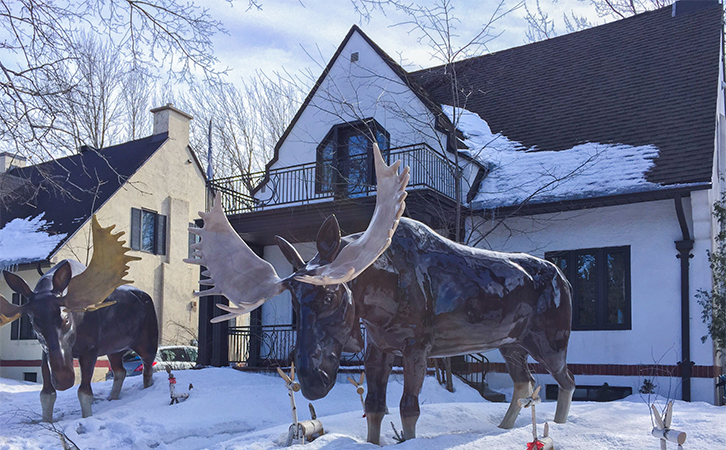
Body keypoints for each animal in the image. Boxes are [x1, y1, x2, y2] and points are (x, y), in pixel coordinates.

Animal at [0, 217, 159, 422]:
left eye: (66, 319)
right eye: (34, 323)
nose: (64, 379)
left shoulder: (91, 350)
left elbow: (84, 392)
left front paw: (86, 418)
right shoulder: (45, 353)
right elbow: (46, 394)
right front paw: (47, 421)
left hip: (148, 344)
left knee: (148, 371)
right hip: (115, 349)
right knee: (120, 371)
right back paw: (112, 398)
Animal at [188, 145, 576, 442]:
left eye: (330, 296)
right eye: (294, 301)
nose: (312, 381)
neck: (381, 300)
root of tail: (566, 279)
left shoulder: (418, 346)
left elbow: (408, 409)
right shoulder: (378, 346)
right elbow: (374, 406)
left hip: (550, 339)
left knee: (565, 380)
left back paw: (555, 427)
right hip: (511, 342)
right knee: (524, 383)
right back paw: (504, 428)